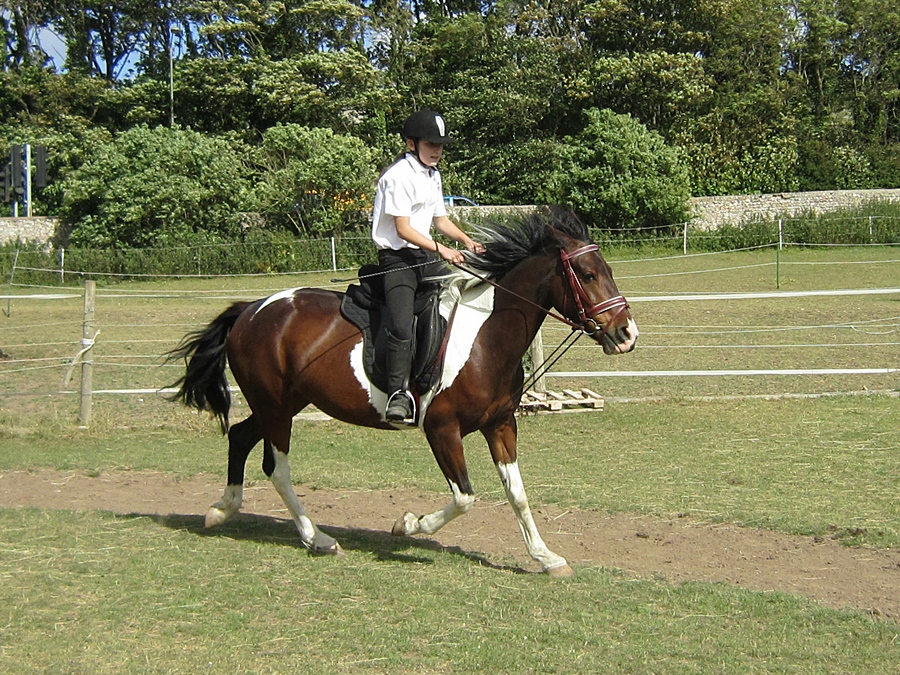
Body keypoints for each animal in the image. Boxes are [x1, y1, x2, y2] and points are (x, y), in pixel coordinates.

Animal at [167, 210, 638, 576]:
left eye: (608, 271)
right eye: (588, 275)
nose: (627, 334)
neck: (487, 336)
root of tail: (251, 308)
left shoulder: (501, 425)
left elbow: (517, 494)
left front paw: (546, 557)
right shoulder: (442, 430)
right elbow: (464, 496)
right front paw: (408, 524)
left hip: (283, 403)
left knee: (240, 437)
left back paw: (222, 509)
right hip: (276, 407)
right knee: (276, 467)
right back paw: (317, 538)